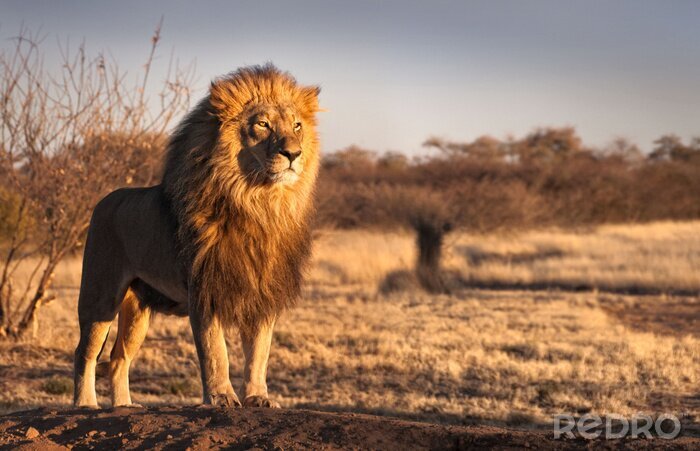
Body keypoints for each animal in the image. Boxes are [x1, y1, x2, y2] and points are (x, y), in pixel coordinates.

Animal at [73, 64, 321, 409]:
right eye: (262, 124)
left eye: (297, 125)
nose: (293, 153)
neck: (258, 204)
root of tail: (104, 200)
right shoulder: (205, 288)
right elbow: (216, 351)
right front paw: (221, 397)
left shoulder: (263, 292)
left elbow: (259, 352)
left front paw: (258, 397)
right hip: (100, 294)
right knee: (85, 352)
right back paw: (85, 404)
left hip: (137, 309)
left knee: (118, 357)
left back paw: (123, 406)